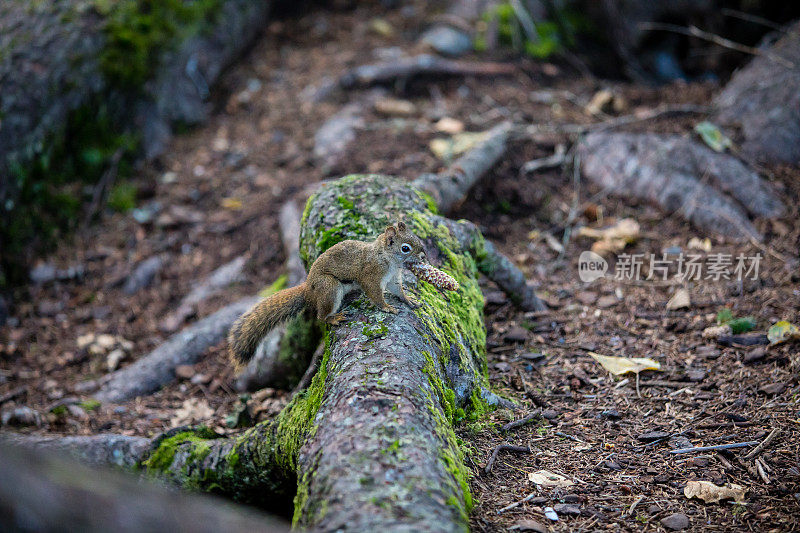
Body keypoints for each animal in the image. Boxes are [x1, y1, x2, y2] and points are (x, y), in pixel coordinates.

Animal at [228, 220, 428, 366]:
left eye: (416, 238)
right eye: (405, 248)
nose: (424, 256)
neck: (386, 257)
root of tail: (308, 289)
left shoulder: (393, 278)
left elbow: (398, 290)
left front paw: (409, 300)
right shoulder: (371, 276)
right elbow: (375, 294)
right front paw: (387, 307)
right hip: (329, 288)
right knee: (320, 316)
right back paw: (333, 318)